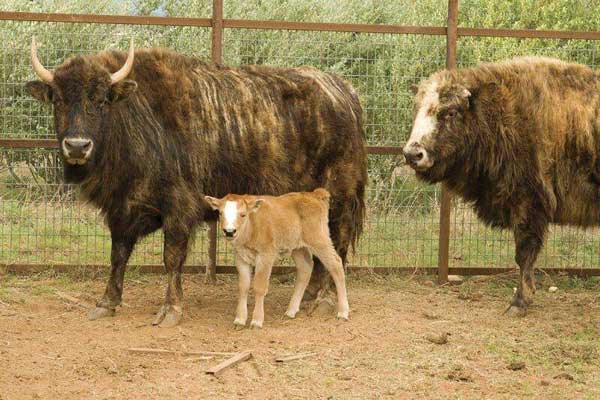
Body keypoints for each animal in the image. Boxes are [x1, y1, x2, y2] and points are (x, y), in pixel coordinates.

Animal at [204, 188, 350, 328]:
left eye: (243, 214)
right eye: (220, 213)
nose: (229, 231)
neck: (251, 225)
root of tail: (315, 195)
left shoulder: (266, 255)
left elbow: (259, 286)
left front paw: (256, 321)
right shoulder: (241, 257)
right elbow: (243, 287)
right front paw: (239, 320)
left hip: (319, 240)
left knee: (336, 264)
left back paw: (343, 313)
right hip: (298, 248)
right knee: (305, 268)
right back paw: (291, 311)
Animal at [404, 57, 600, 318]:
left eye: (451, 112)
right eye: (417, 110)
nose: (412, 154)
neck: (498, 112)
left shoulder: (528, 204)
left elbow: (524, 255)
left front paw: (519, 303)